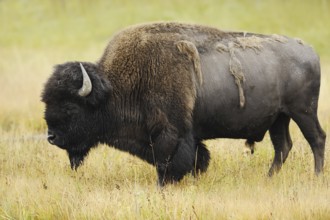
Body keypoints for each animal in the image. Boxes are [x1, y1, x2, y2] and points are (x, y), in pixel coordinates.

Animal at [41, 22, 324, 185]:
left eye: (70, 107)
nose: (51, 137)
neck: (116, 88)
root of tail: (310, 51)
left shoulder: (170, 134)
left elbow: (168, 162)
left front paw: (164, 185)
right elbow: (199, 158)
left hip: (303, 112)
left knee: (316, 139)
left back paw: (317, 177)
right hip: (279, 118)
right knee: (283, 147)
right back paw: (268, 178)